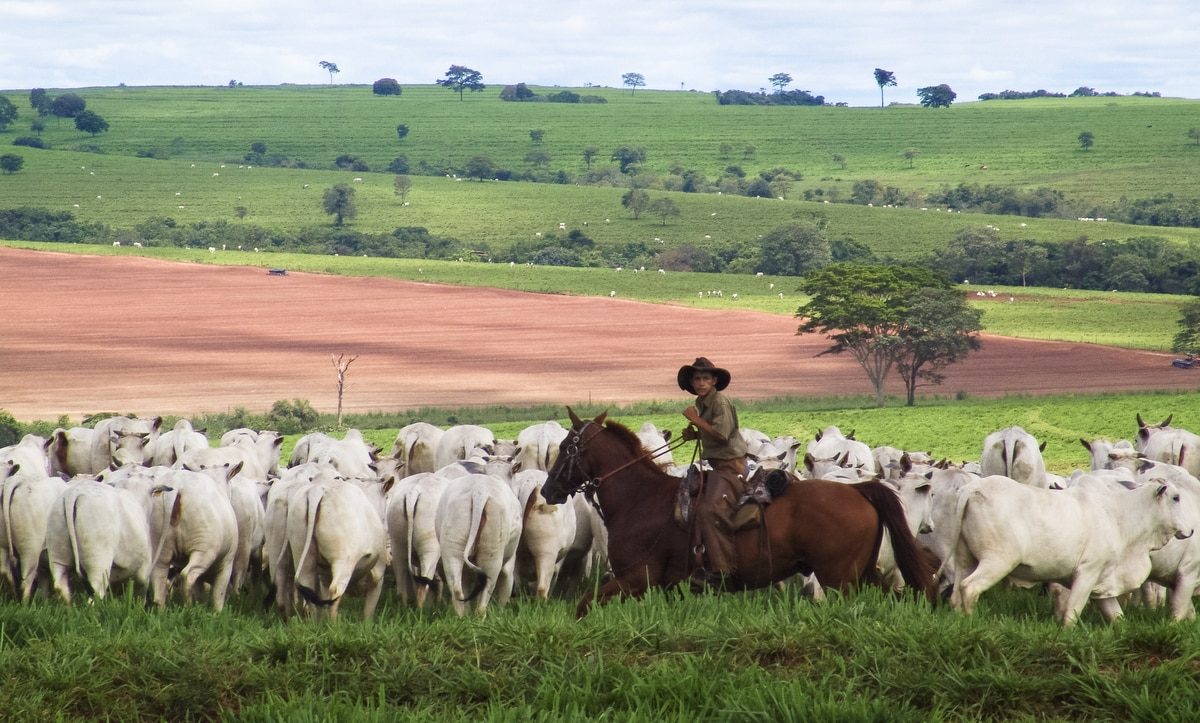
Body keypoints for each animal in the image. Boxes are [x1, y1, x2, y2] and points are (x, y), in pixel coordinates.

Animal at [288, 475, 386, 614]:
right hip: (344, 561)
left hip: (301, 551)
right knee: (335, 591)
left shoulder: (324, 576)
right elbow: (369, 610)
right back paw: (334, 620)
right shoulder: (378, 572)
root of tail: (318, 490)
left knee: (309, 589)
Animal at [436, 473, 520, 612]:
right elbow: (506, 585)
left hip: (452, 548)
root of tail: (479, 491)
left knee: (457, 589)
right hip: (492, 552)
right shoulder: (510, 562)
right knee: (485, 595)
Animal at [542, 408, 936, 614]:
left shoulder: (638, 578)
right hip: (859, 574)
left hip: (839, 579)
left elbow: (584, 605)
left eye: (567, 446)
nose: (548, 490)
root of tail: (859, 492)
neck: (640, 498)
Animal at [945, 475, 1190, 619]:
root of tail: (974, 488)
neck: (1120, 517)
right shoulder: (1088, 571)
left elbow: (1116, 615)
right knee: (969, 588)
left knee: (956, 594)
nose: (1191, 530)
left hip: (965, 559)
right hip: (998, 560)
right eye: (1175, 498)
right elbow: (1073, 610)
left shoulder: (1104, 578)